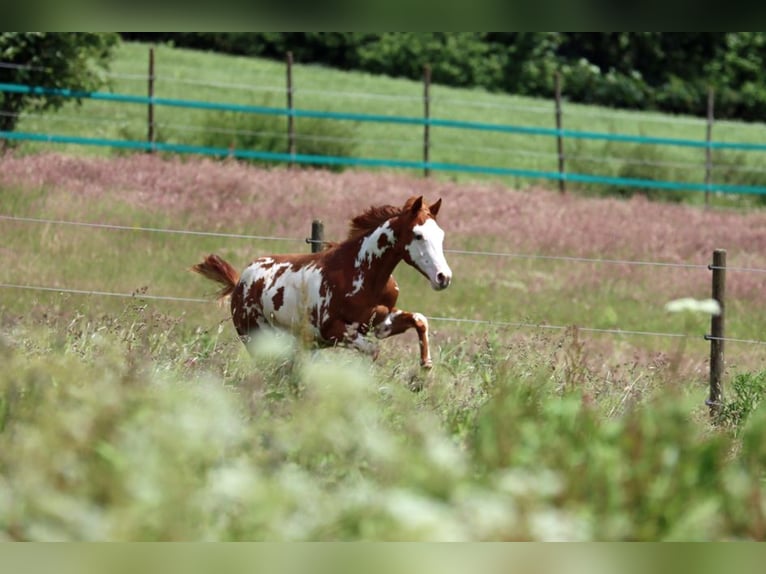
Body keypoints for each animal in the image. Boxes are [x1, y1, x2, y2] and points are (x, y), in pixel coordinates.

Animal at [191, 195, 452, 367]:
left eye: (440, 235)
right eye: (418, 235)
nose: (443, 277)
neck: (362, 273)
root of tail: (240, 282)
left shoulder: (381, 323)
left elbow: (420, 320)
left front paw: (425, 368)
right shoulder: (334, 330)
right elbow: (373, 351)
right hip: (257, 338)